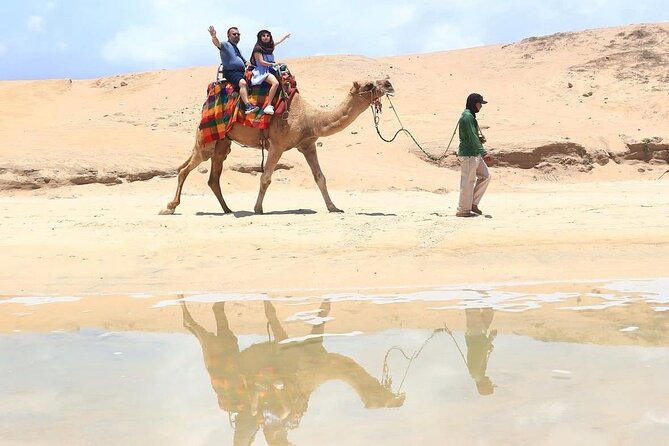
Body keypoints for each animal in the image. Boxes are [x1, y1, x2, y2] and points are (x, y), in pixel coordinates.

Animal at [160, 78, 395, 215]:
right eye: (369, 85)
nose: (389, 84)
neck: (309, 118)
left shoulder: (308, 144)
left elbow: (320, 177)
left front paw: (334, 207)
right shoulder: (278, 144)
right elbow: (265, 178)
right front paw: (258, 209)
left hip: (222, 143)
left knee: (212, 177)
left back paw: (227, 209)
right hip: (206, 139)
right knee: (184, 169)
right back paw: (170, 207)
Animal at [181, 300, 404, 445]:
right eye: (378, 400)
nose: (399, 400)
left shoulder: (312, 346)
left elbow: (323, 310)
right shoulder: (286, 349)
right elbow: (271, 312)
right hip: (219, 359)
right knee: (203, 333)